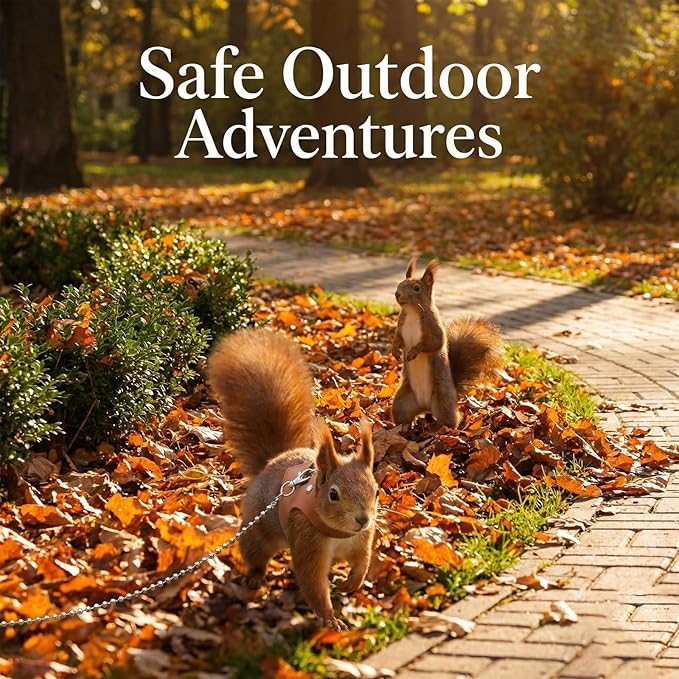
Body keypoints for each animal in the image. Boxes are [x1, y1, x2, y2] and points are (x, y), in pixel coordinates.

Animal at [206, 328, 378, 631]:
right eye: (333, 494)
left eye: (376, 490)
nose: (362, 519)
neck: (339, 533)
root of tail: (272, 461)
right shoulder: (308, 540)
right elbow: (312, 582)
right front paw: (330, 619)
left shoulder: (361, 541)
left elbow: (362, 564)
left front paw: (351, 584)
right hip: (257, 532)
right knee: (255, 554)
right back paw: (254, 576)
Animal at [391, 258, 503, 429]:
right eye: (400, 283)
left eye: (417, 288)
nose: (397, 294)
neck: (412, 312)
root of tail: (425, 407)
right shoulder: (400, 326)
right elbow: (398, 339)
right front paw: (395, 350)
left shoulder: (434, 327)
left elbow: (435, 343)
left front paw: (415, 350)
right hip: (402, 402)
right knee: (403, 414)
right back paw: (404, 427)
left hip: (442, 400)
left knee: (451, 420)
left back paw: (440, 428)